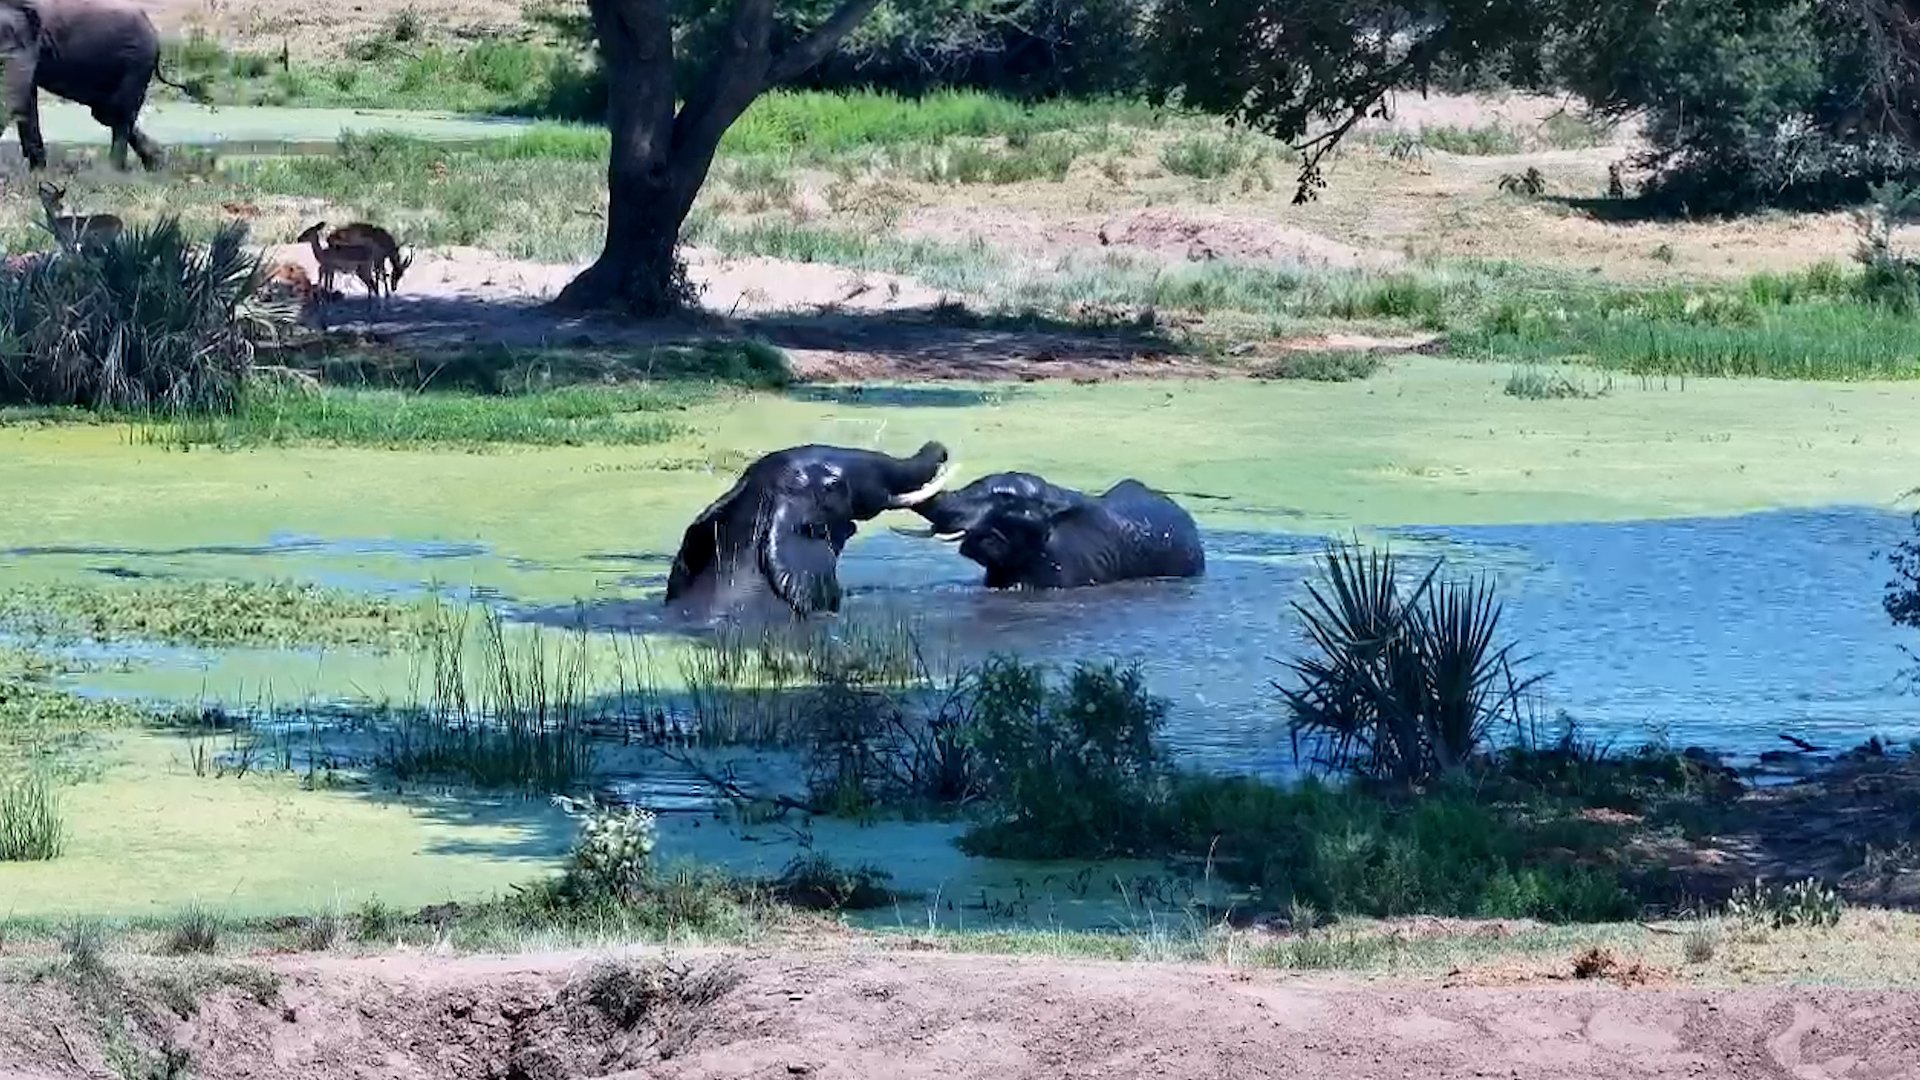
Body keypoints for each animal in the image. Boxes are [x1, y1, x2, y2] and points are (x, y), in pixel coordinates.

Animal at [0, 0, 194, 172]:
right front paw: (38, 173)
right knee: (107, 113)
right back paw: (155, 163)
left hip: (137, 64)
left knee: (119, 113)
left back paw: (114, 172)